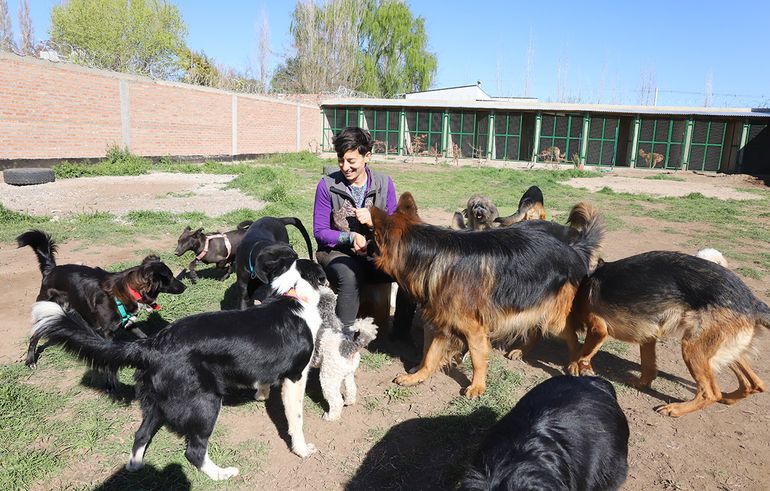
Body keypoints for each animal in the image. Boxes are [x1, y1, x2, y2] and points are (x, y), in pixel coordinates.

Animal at [16, 230, 186, 392]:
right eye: (170, 277)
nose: (185, 286)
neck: (129, 290)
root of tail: (51, 269)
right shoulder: (108, 333)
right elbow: (108, 360)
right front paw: (110, 384)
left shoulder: (128, 323)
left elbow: (143, 336)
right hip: (45, 308)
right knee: (35, 335)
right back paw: (30, 360)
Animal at [27, 260, 324, 482]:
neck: (293, 296)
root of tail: (153, 345)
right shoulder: (296, 376)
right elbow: (296, 419)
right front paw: (301, 450)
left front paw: (261, 394)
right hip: (205, 401)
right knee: (194, 451)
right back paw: (221, 474)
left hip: (156, 402)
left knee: (140, 435)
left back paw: (136, 466)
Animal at [564, 252, 768, 418]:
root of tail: (753, 302)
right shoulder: (648, 337)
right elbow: (648, 366)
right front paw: (641, 383)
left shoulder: (598, 329)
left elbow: (583, 352)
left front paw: (576, 366)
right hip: (723, 352)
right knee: (754, 384)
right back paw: (728, 398)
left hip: (692, 348)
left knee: (710, 393)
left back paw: (676, 409)